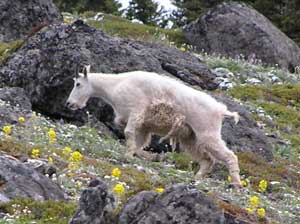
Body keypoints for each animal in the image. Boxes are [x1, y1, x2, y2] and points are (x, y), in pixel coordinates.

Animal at [65, 65, 241, 187]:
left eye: (78, 84)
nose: (69, 103)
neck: (115, 85)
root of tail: (220, 111)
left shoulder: (136, 111)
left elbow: (129, 133)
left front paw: (128, 155)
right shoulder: (143, 127)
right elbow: (139, 144)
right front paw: (150, 156)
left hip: (207, 132)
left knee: (229, 155)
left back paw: (236, 183)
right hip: (190, 137)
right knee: (207, 159)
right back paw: (196, 178)